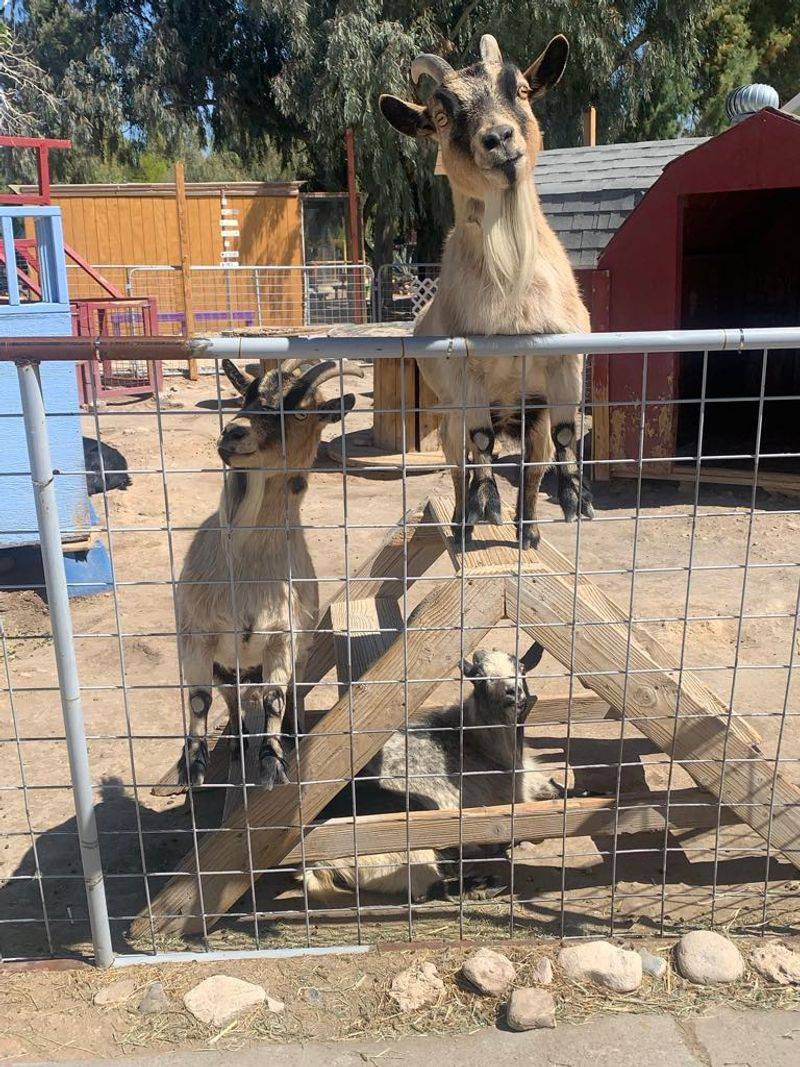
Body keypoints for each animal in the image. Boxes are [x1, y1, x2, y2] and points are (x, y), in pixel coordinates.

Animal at [173, 357, 362, 789]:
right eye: (246, 395)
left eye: (302, 411)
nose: (234, 431)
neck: (247, 566)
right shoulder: (197, 634)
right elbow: (199, 699)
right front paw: (192, 765)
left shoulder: (283, 637)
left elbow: (275, 700)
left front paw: (273, 762)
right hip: (229, 667)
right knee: (231, 696)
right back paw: (237, 741)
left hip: (300, 652)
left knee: (291, 691)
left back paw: (293, 731)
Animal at [302, 644, 560, 902]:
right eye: (478, 676)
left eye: (522, 667)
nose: (512, 693)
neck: (480, 744)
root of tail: (317, 864)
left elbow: (558, 790)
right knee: (424, 885)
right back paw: (481, 884)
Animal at [380, 33, 593, 548]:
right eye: (440, 116)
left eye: (521, 90)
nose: (498, 138)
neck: (513, 295)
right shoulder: (465, 373)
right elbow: (480, 446)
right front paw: (489, 504)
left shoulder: (567, 357)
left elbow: (565, 435)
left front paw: (575, 500)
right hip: (448, 418)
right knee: (462, 465)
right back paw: (463, 525)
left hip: (529, 417)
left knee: (532, 465)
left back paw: (527, 532)